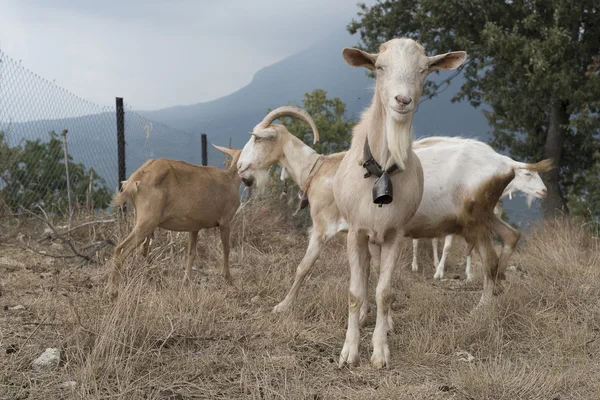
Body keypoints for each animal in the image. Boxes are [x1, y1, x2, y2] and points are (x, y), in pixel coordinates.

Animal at [109, 145, 243, 298]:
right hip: (147, 221)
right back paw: (114, 291)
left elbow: (191, 253)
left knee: (143, 249)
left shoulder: (194, 227)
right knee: (120, 249)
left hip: (144, 220)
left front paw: (186, 281)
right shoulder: (225, 222)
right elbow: (226, 249)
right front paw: (228, 278)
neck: (230, 179)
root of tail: (134, 181)